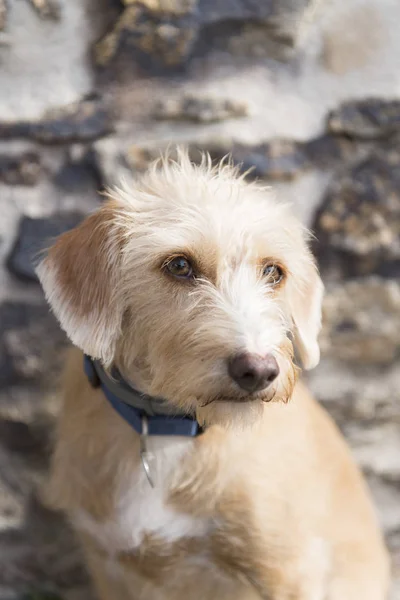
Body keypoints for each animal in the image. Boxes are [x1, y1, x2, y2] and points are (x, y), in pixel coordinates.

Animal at [36, 149, 390, 596]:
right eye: (179, 265)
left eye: (274, 272)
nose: (259, 371)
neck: (167, 429)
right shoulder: (109, 566)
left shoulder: (288, 570)